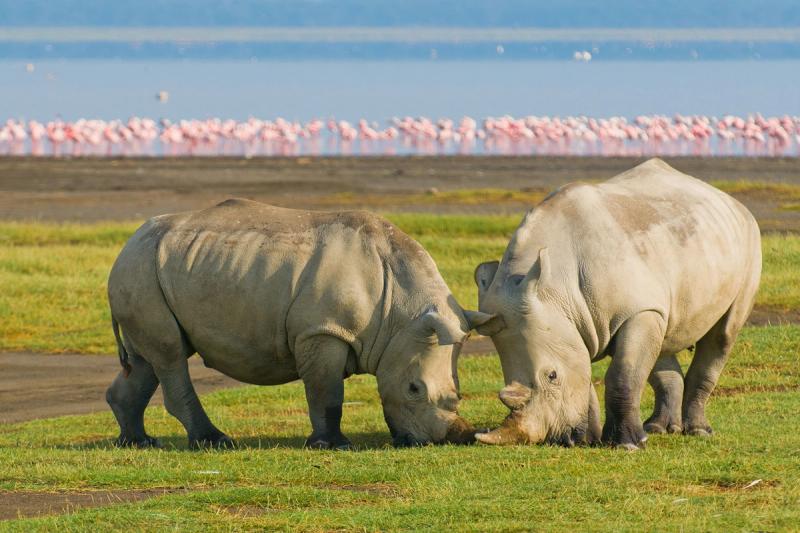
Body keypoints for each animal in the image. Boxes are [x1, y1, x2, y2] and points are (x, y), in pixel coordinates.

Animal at [106, 199, 485, 449]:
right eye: (414, 389)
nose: (451, 438)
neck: (402, 312)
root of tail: (128, 243)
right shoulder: (322, 330)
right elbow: (326, 391)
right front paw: (332, 445)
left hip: (152, 269)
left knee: (148, 358)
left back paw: (138, 442)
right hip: (141, 268)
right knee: (170, 354)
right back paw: (214, 442)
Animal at [471, 159, 762, 449]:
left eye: (551, 376)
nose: (561, 440)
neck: (555, 287)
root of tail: (728, 199)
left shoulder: (635, 311)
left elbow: (623, 374)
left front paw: (626, 445)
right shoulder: (573, 324)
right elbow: (585, 373)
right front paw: (590, 439)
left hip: (749, 239)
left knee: (722, 335)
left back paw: (698, 431)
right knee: (663, 337)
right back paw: (658, 428)